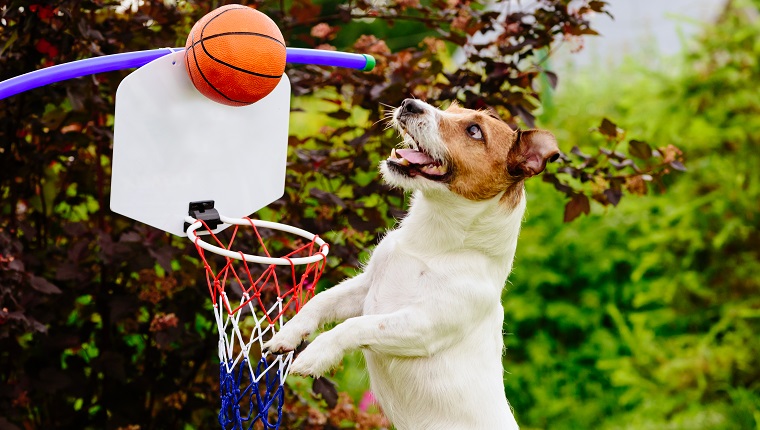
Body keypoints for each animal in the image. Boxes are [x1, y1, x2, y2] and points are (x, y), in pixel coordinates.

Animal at [266, 99, 560, 428]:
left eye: (474, 130)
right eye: (449, 110)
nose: (410, 103)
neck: (430, 244)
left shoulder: (421, 327)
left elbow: (356, 325)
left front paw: (317, 353)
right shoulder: (365, 287)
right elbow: (319, 302)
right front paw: (288, 333)